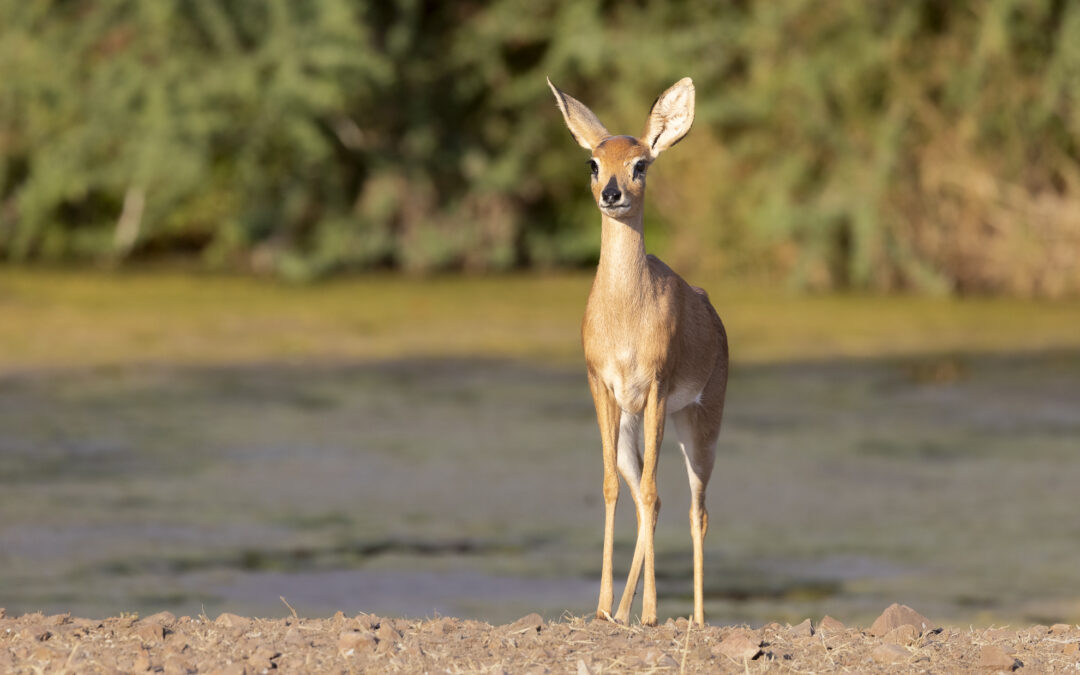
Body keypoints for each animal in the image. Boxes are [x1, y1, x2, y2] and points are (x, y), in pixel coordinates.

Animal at [544, 76, 730, 622]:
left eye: (640, 163)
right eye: (593, 162)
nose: (612, 193)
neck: (626, 318)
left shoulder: (658, 389)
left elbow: (650, 491)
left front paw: (649, 611)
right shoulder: (603, 387)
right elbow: (612, 486)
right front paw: (605, 607)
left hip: (700, 423)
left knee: (695, 508)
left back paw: (694, 617)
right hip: (634, 421)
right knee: (655, 499)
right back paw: (623, 611)